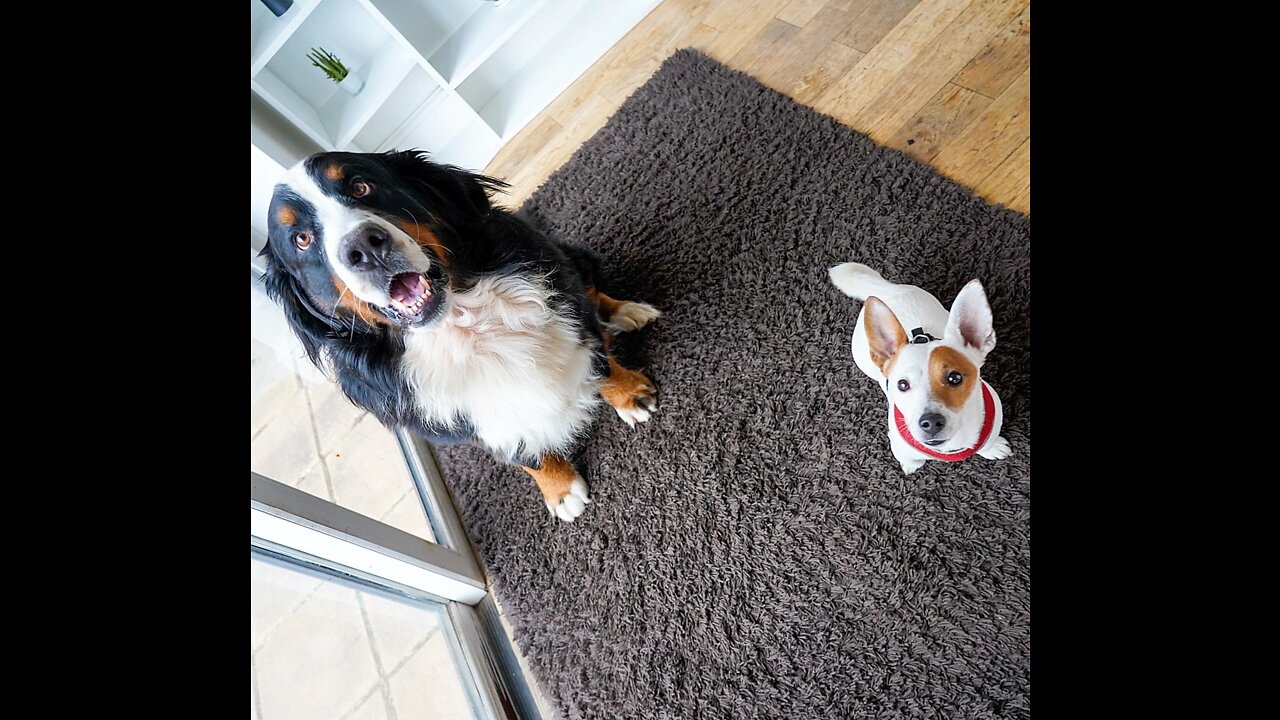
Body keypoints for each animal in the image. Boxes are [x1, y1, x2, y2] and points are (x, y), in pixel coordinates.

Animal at [261, 149, 660, 520]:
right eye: (301, 239)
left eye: (360, 186)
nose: (363, 247)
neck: (465, 326)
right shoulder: (465, 421)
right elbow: (523, 454)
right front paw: (559, 489)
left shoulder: (573, 310)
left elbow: (601, 365)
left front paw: (630, 395)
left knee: (593, 290)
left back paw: (629, 312)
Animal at [829, 260, 1008, 474]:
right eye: (902, 385)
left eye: (954, 378)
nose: (930, 422)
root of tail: (885, 291)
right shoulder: (900, 445)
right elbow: (912, 459)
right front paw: (910, 465)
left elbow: (987, 444)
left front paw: (994, 448)